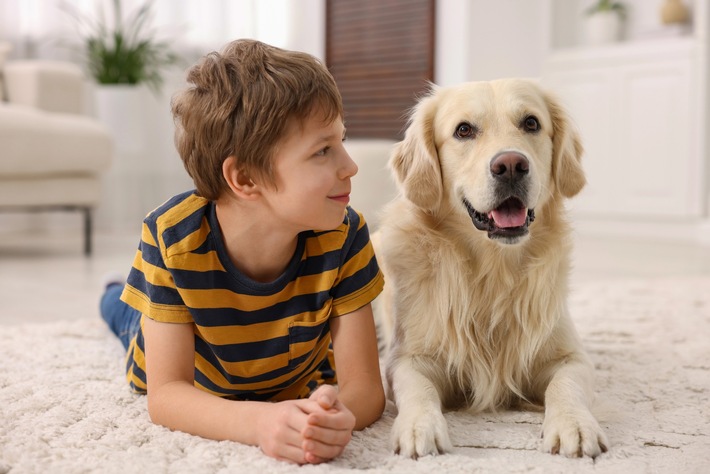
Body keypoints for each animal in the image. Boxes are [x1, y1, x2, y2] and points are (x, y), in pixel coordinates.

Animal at [376, 78, 608, 460]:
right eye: (463, 130)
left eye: (531, 123)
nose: (511, 165)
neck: (493, 271)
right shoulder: (407, 359)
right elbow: (418, 389)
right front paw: (419, 427)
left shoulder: (571, 357)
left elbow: (566, 385)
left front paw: (574, 424)